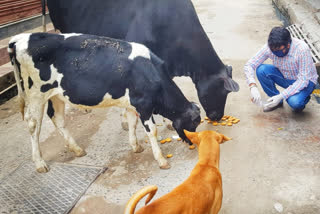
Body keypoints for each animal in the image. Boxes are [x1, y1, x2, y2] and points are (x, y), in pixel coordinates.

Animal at [8, 33, 200, 174]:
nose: (193, 144)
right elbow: (151, 131)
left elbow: (132, 122)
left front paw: (135, 146)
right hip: (35, 94)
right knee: (33, 125)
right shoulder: (144, 104)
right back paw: (40, 163)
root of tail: (19, 38)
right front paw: (161, 160)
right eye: (193, 123)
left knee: (57, 118)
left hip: (57, 94)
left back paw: (77, 149)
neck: (151, 72)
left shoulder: (132, 103)